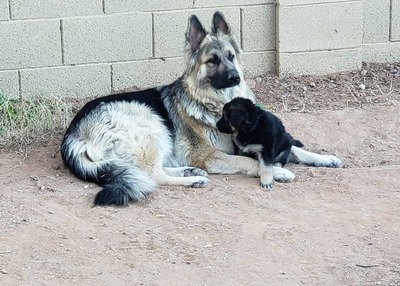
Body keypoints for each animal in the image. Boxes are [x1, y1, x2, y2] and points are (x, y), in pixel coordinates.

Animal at [61, 11, 342, 206]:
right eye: (212, 60)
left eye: (231, 56)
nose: (235, 78)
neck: (217, 103)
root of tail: (74, 135)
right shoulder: (210, 155)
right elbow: (248, 161)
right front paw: (278, 172)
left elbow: (294, 148)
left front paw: (324, 158)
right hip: (149, 124)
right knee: (153, 175)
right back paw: (194, 178)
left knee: (153, 170)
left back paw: (190, 171)